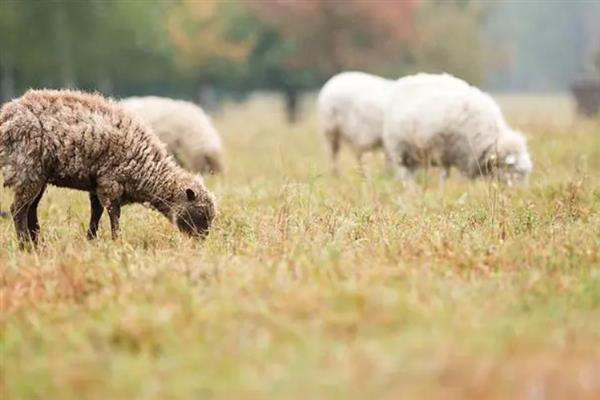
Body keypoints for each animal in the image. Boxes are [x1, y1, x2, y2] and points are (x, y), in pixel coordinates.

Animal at [0, 90, 216, 247]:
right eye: (201, 213)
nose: (201, 243)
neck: (147, 171)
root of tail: (7, 115)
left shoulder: (97, 182)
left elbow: (96, 212)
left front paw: (91, 239)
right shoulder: (110, 181)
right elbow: (113, 213)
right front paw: (116, 240)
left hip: (39, 174)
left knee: (30, 209)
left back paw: (37, 244)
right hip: (28, 169)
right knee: (18, 209)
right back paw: (25, 246)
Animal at [382, 74, 532, 184]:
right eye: (515, 171)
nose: (518, 195)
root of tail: (404, 80)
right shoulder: (443, 149)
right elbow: (444, 174)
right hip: (399, 147)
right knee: (404, 172)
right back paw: (409, 187)